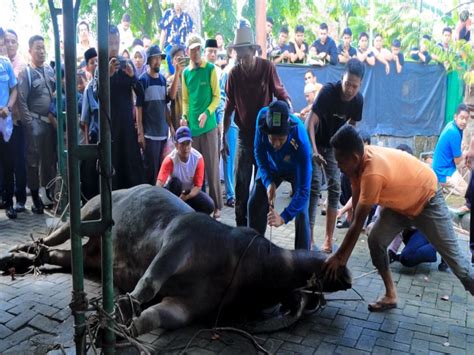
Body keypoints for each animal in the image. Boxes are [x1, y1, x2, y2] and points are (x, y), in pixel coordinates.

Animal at [0, 185, 352, 338]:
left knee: (61, 255)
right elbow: (148, 283)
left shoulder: (185, 308)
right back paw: (15, 253)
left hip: (91, 259)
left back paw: (23, 258)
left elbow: (153, 317)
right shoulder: (179, 243)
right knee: (58, 234)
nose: (347, 276)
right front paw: (118, 310)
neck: (240, 266)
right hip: (90, 210)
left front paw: (120, 328)